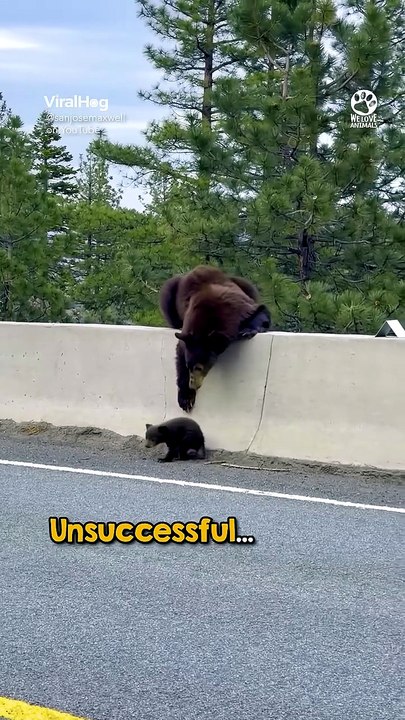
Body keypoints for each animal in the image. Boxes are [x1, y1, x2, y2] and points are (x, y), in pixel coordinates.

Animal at [159, 265, 271, 412]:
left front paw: (248, 331)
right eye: (189, 366)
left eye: (199, 367)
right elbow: (180, 351)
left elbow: (259, 312)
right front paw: (186, 398)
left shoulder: (238, 306)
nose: (192, 384)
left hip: (242, 282)